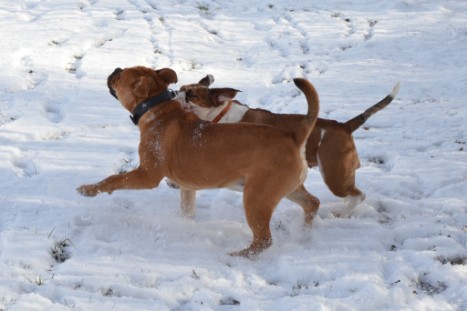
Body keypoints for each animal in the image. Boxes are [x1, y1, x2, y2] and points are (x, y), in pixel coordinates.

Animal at [77, 66, 322, 258]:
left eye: (120, 76)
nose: (115, 69)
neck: (157, 109)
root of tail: (294, 136)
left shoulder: (146, 174)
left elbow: (114, 179)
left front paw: (89, 189)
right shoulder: (186, 187)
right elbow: (187, 209)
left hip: (256, 197)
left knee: (264, 239)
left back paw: (238, 255)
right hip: (285, 188)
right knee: (312, 202)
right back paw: (304, 232)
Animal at [181, 75, 400, 217]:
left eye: (191, 94)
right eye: (182, 89)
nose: (176, 92)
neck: (219, 114)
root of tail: (344, 126)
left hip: (334, 174)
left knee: (359, 195)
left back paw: (341, 212)